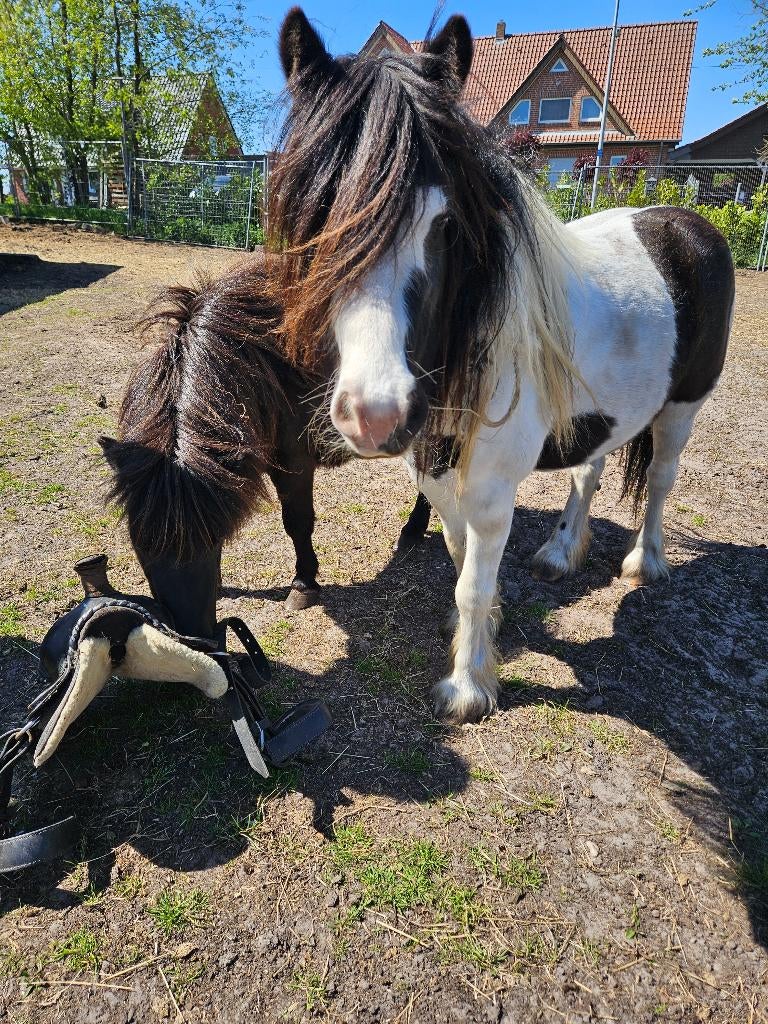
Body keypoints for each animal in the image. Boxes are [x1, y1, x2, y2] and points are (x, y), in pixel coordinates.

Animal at [99, 261, 432, 640]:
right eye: (139, 544)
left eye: (212, 539)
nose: (196, 638)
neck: (267, 366)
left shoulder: (295, 464)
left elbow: (297, 522)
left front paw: (304, 585)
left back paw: (413, 529)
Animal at [268, 9, 735, 725]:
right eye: (316, 216)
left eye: (444, 221)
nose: (375, 416)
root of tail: (689, 223)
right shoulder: (434, 468)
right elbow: (462, 558)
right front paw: (484, 637)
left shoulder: (490, 489)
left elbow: (470, 579)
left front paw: (468, 686)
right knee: (591, 470)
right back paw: (562, 551)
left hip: (684, 406)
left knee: (659, 479)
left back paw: (644, 561)